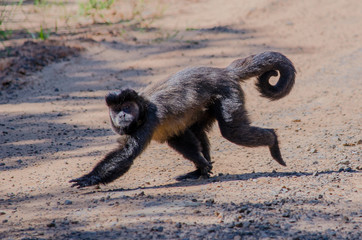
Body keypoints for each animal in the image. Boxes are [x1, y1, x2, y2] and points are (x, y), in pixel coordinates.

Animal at [69, 51, 296, 188]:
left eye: (126, 108)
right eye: (116, 110)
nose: (122, 115)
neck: (142, 110)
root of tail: (223, 71)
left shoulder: (149, 120)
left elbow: (126, 155)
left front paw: (89, 178)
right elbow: (179, 138)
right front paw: (202, 165)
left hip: (227, 91)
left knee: (232, 131)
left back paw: (273, 141)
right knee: (197, 131)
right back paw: (201, 170)